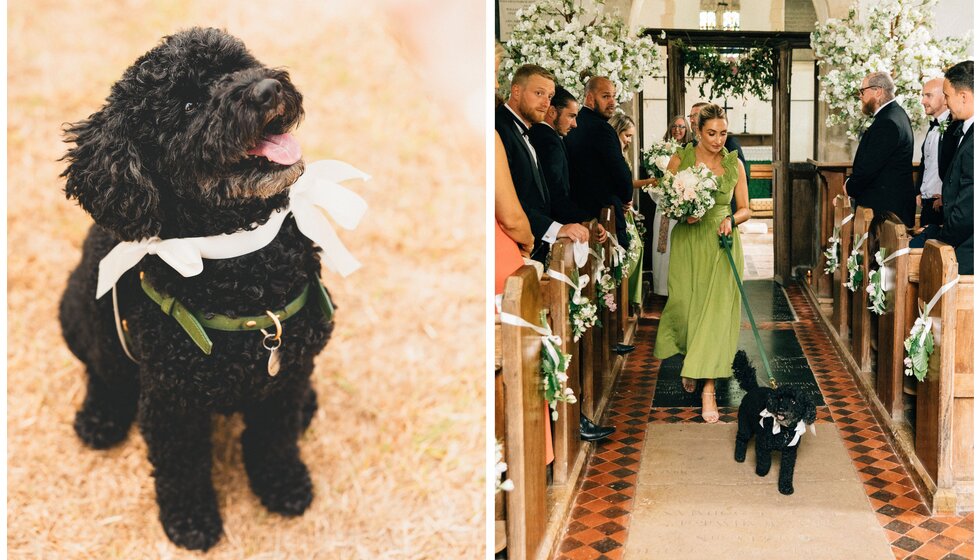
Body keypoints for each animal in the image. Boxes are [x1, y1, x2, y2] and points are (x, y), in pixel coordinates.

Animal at [61, 27, 330, 552]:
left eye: (238, 65)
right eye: (186, 106)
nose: (266, 88)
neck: (243, 260)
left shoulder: (284, 377)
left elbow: (275, 439)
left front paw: (284, 485)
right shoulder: (171, 401)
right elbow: (181, 466)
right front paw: (190, 522)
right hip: (87, 314)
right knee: (102, 371)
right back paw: (100, 418)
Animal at [732, 350, 816, 494]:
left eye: (794, 401)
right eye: (780, 398)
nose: (781, 409)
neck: (784, 430)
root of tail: (753, 389)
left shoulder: (790, 452)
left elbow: (787, 471)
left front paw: (786, 487)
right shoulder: (762, 443)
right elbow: (764, 459)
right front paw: (762, 471)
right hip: (745, 425)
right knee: (741, 439)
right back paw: (739, 456)